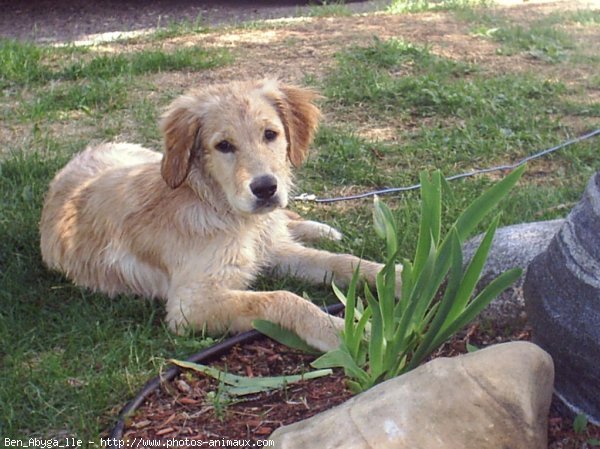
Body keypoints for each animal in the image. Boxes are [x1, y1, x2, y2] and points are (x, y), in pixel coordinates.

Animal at [38, 79, 398, 350]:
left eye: (270, 134)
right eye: (223, 145)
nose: (266, 188)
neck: (220, 208)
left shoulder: (273, 251)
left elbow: (344, 262)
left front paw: (397, 276)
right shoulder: (189, 305)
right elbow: (281, 298)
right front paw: (345, 334)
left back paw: (318, 228)